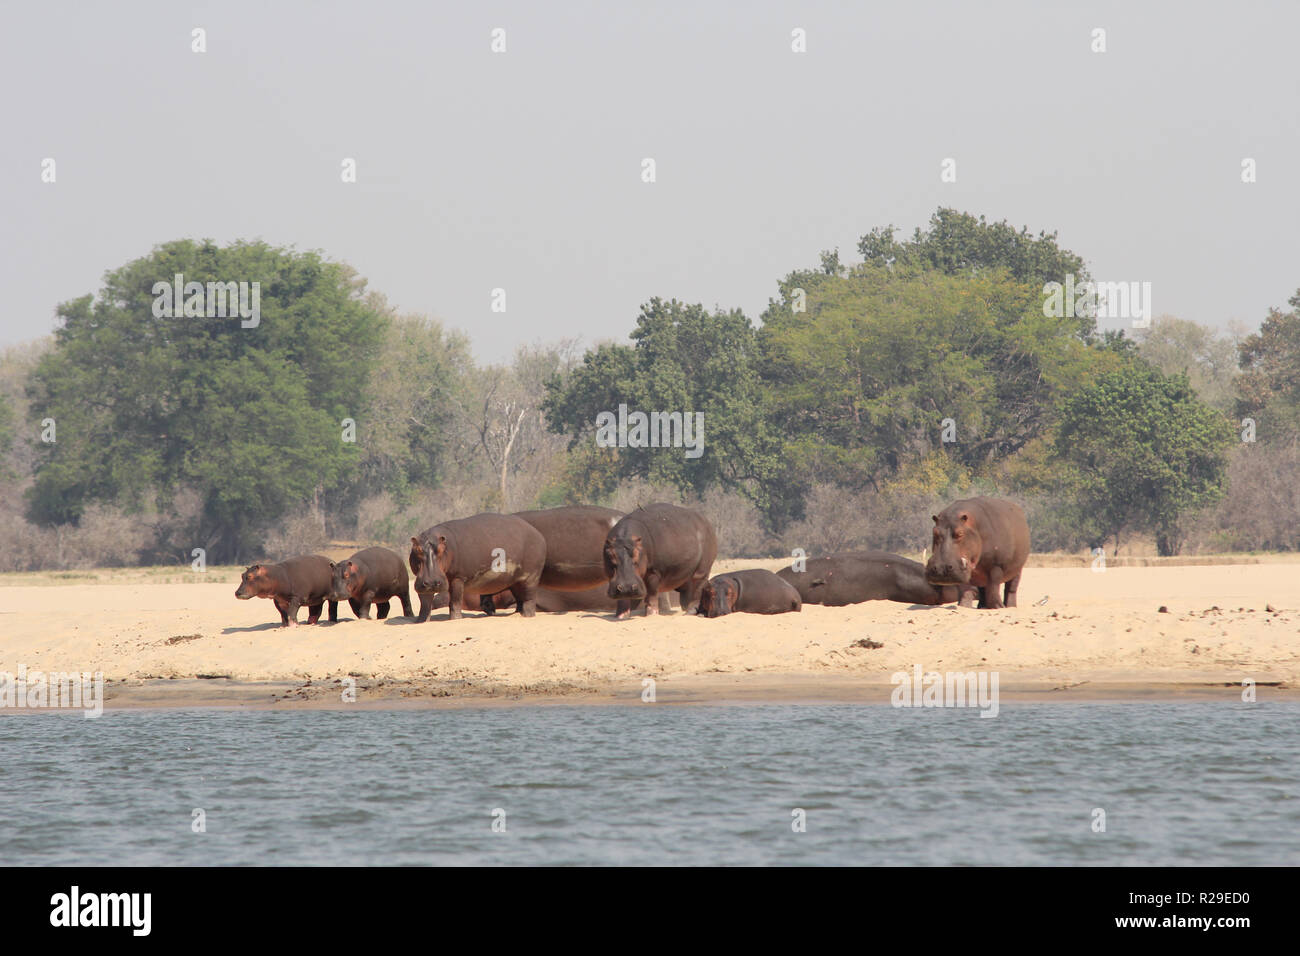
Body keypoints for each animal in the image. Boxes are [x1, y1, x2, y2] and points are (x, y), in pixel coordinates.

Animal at [408, 512, 546, 624]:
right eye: (417, 550)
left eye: (441, 550)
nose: (432, 582)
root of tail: (539, 535)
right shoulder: (422, 582)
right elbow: (425, 603)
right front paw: (421, 621)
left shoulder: (458, 577)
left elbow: (455, 600)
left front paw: (455, 619)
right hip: (514, 581)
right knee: (519, 598)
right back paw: (517, 614)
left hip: (530, 577)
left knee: (529, 598)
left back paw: (527, 615)